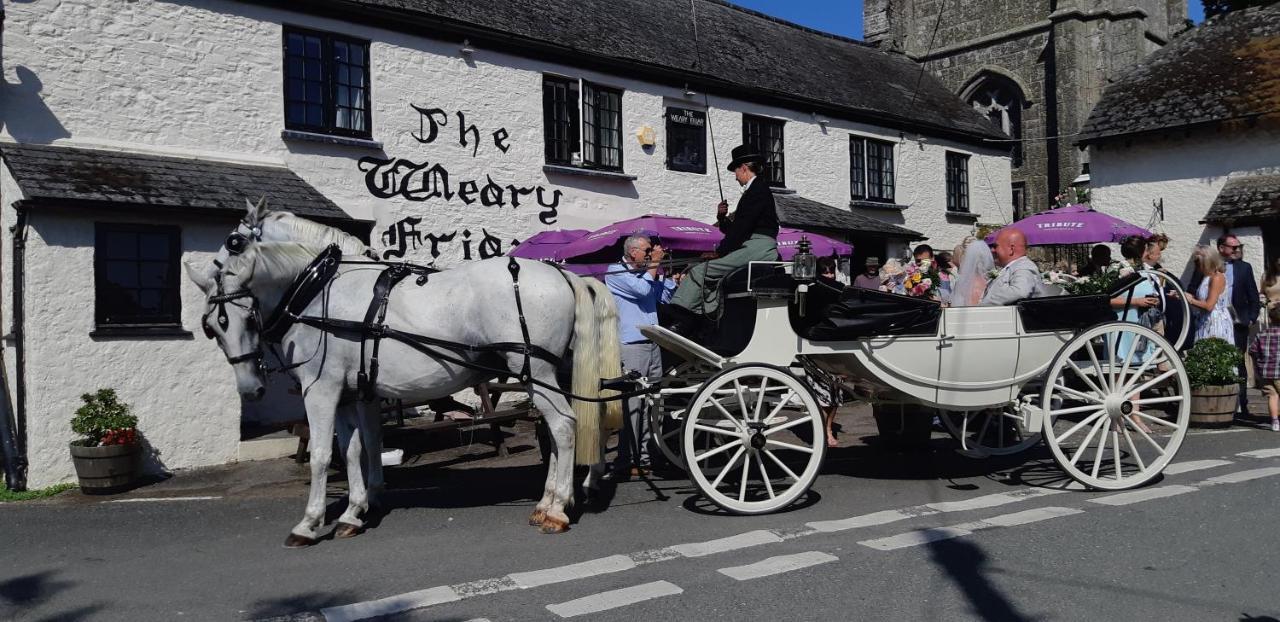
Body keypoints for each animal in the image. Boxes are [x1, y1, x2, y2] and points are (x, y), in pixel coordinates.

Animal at [186, 239, 622, 545]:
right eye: (211, 327)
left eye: (241, 318)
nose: (251, 389)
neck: (317, 294)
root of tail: (563, 275)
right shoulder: (351, 394)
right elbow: (354, 450)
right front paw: (353, 513)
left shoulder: (321, 391)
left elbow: (322, 456)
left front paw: (309, 523)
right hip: (547, 374)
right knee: (558, 430)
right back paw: (551, 501)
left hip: (536, 370)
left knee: (564, 427)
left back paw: (557, 509)